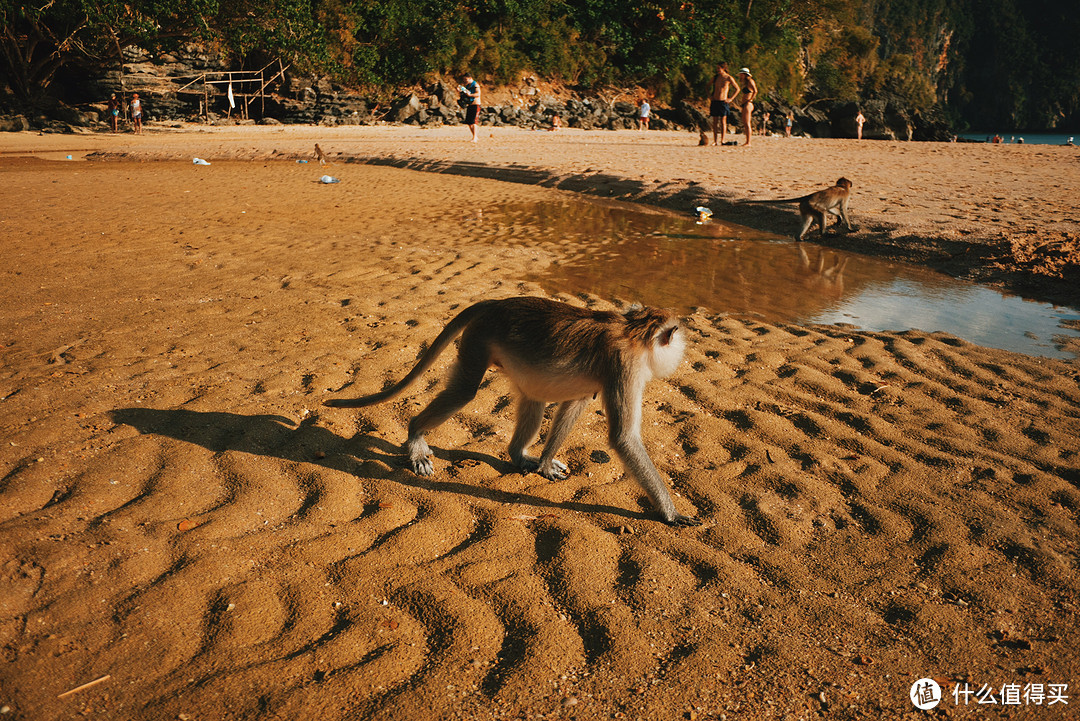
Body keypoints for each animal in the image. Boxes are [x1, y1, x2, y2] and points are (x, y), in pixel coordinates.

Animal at [324, 295, 699, 526]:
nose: (682, 347)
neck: (633, 329)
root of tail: (496, 303)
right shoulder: (625, 365)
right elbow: (623, 438)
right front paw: (670, 513)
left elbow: (575, 403)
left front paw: (545, 463)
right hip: (479, 338)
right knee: (465, 391)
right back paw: (416, 437)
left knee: (534, 398)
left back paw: (519, 455)